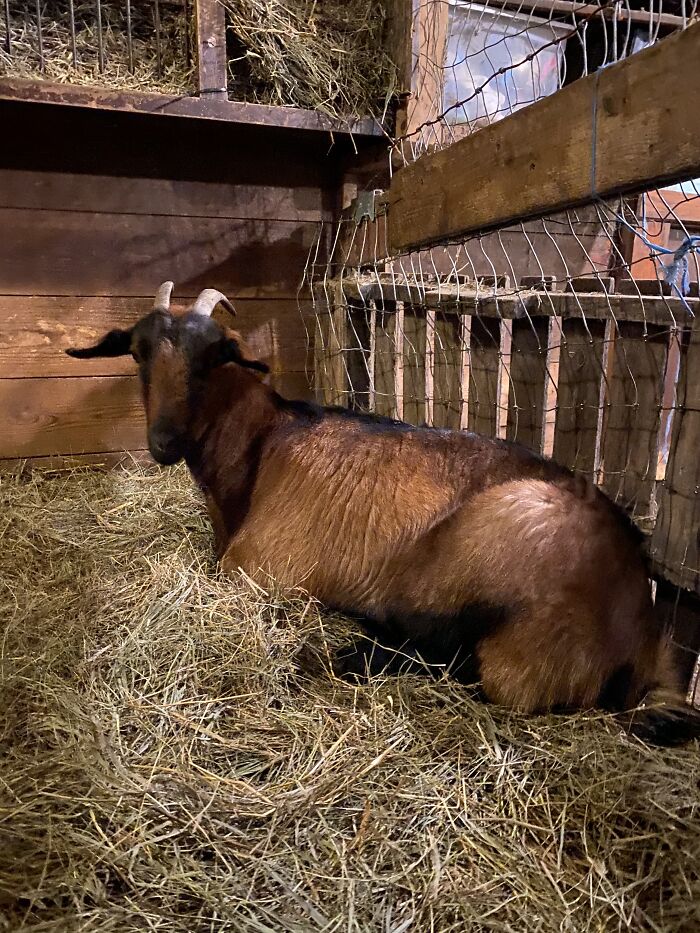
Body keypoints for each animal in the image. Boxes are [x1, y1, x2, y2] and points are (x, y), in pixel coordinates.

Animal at [67, 282, 700, 746]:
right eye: (138, 354)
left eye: (212, 356)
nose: (163, 442)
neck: (263, 446)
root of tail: (644, 622)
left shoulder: (258, 571)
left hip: (508, 587)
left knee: (460, 661)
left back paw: (340, 653)